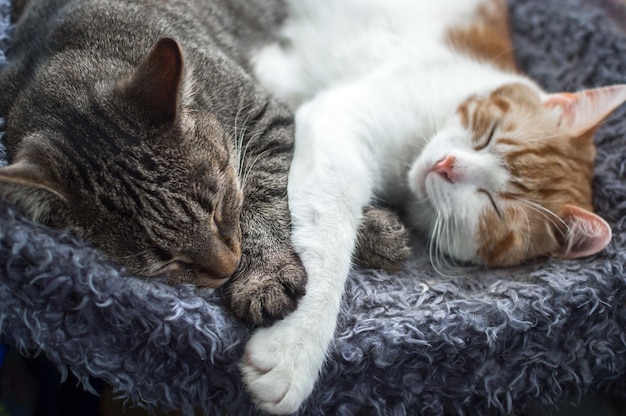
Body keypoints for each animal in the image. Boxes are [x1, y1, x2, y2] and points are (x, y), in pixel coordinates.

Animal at [0, 0, 410, 324]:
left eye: (217, 208)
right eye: (169, 261)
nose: (229, 265)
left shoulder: (267, 116)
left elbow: (266, 200)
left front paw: (264, 274)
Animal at [240, 0, 624, 412]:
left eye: (493, 205)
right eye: (488, 135)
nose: (447, 166)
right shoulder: (340, 120)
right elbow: (329, 238)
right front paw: (295, 345)